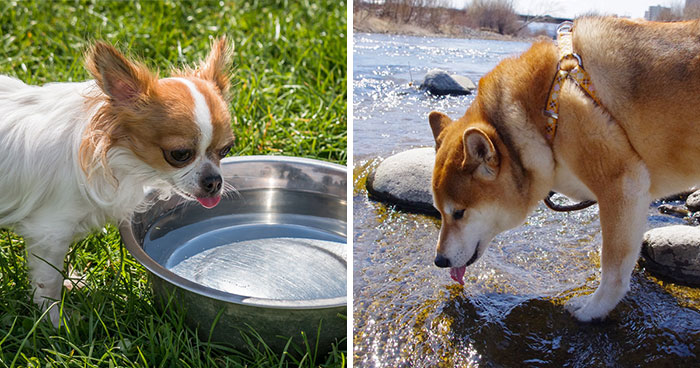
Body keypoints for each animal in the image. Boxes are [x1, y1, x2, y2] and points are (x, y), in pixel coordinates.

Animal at [430, 16, 700, 322]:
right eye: (440, 212)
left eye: (459, 213)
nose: (439, 261)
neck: (548, 113)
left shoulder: (622, 186)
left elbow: (613, 267)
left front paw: (594, 309)